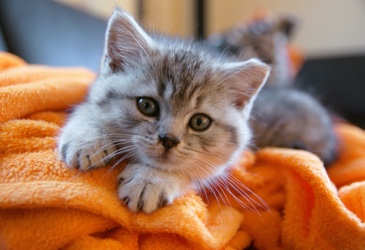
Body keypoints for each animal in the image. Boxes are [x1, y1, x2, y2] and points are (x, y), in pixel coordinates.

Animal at [57, 8, 268, 214]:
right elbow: (87, 109)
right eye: (146, 105)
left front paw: (150, 179)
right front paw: (87, 139)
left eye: (200, 122)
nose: (169, 140)